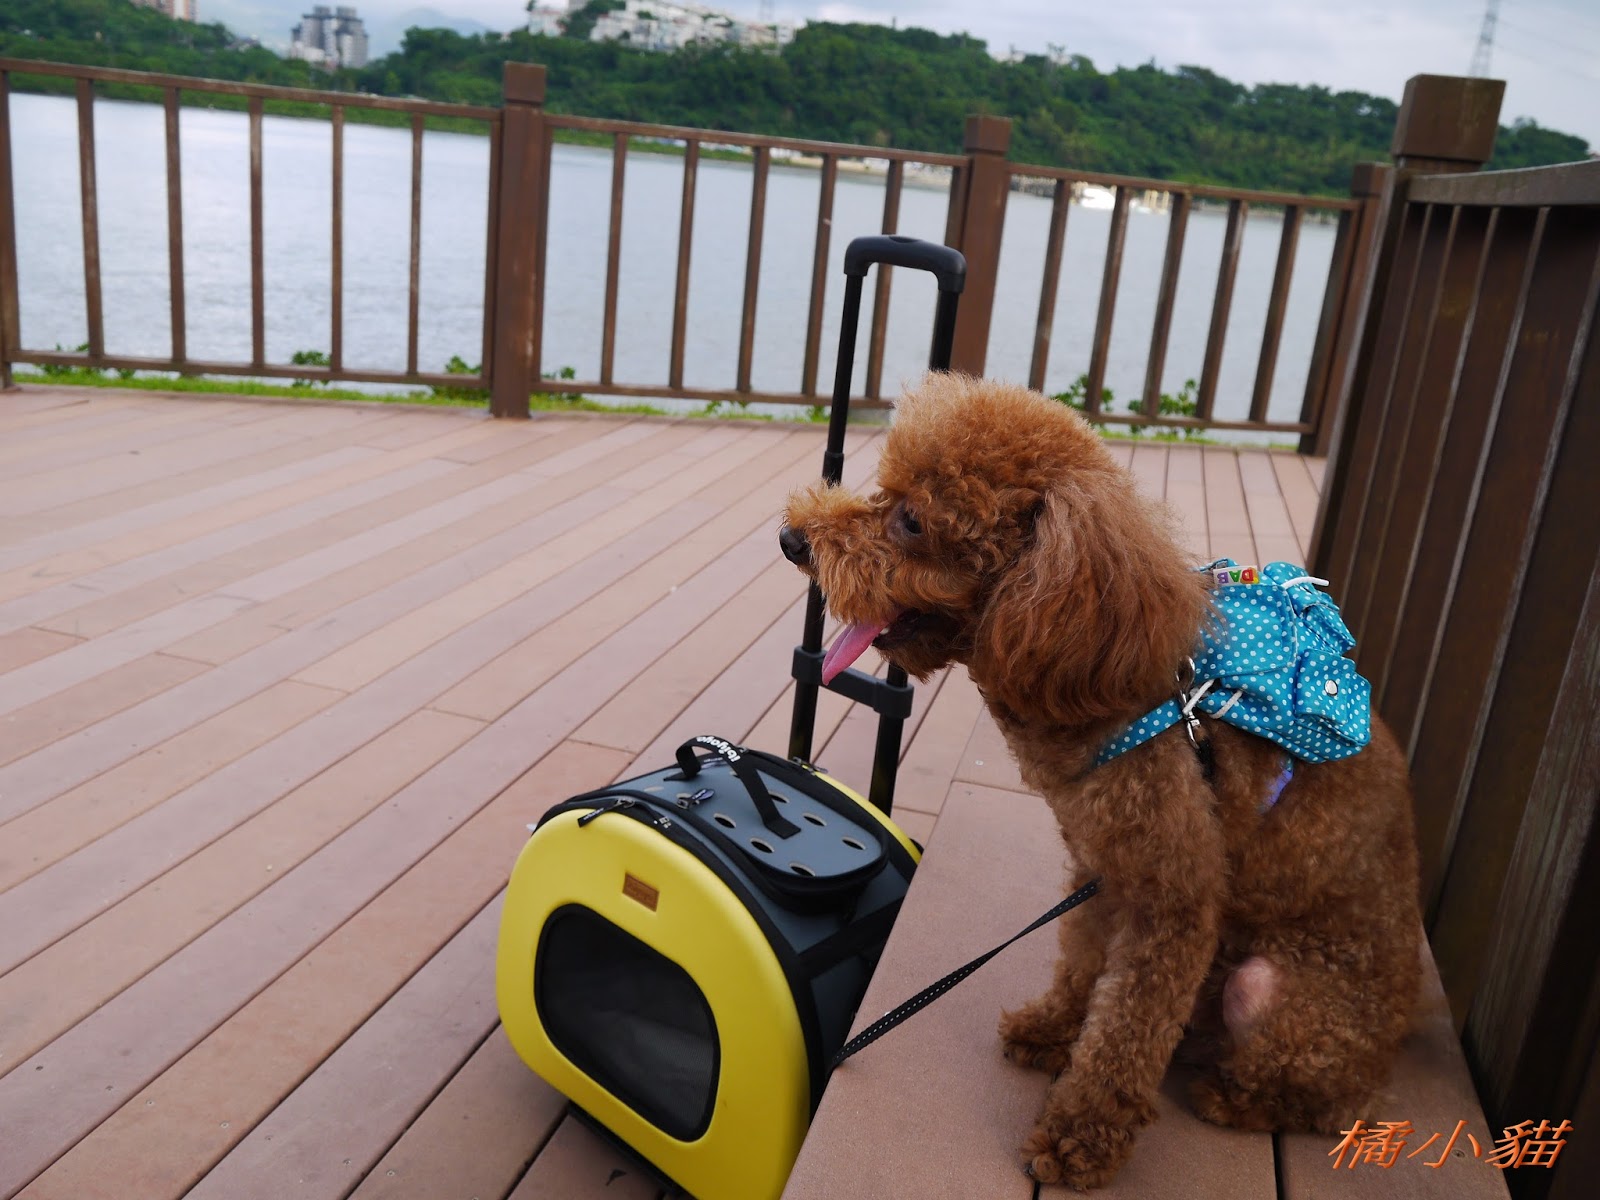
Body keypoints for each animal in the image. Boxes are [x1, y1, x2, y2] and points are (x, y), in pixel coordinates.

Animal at [779, 373, 1421, 1189]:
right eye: (884, 490)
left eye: (913, 520)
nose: (791, 540)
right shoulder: (1103, 867)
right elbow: (1084, 963)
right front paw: (1054, 1029)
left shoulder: (1174, 900)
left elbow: (1126, 1032)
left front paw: (1079, 1137)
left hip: (1286, 999)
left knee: (1319, 1099)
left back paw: (1233, 1096)